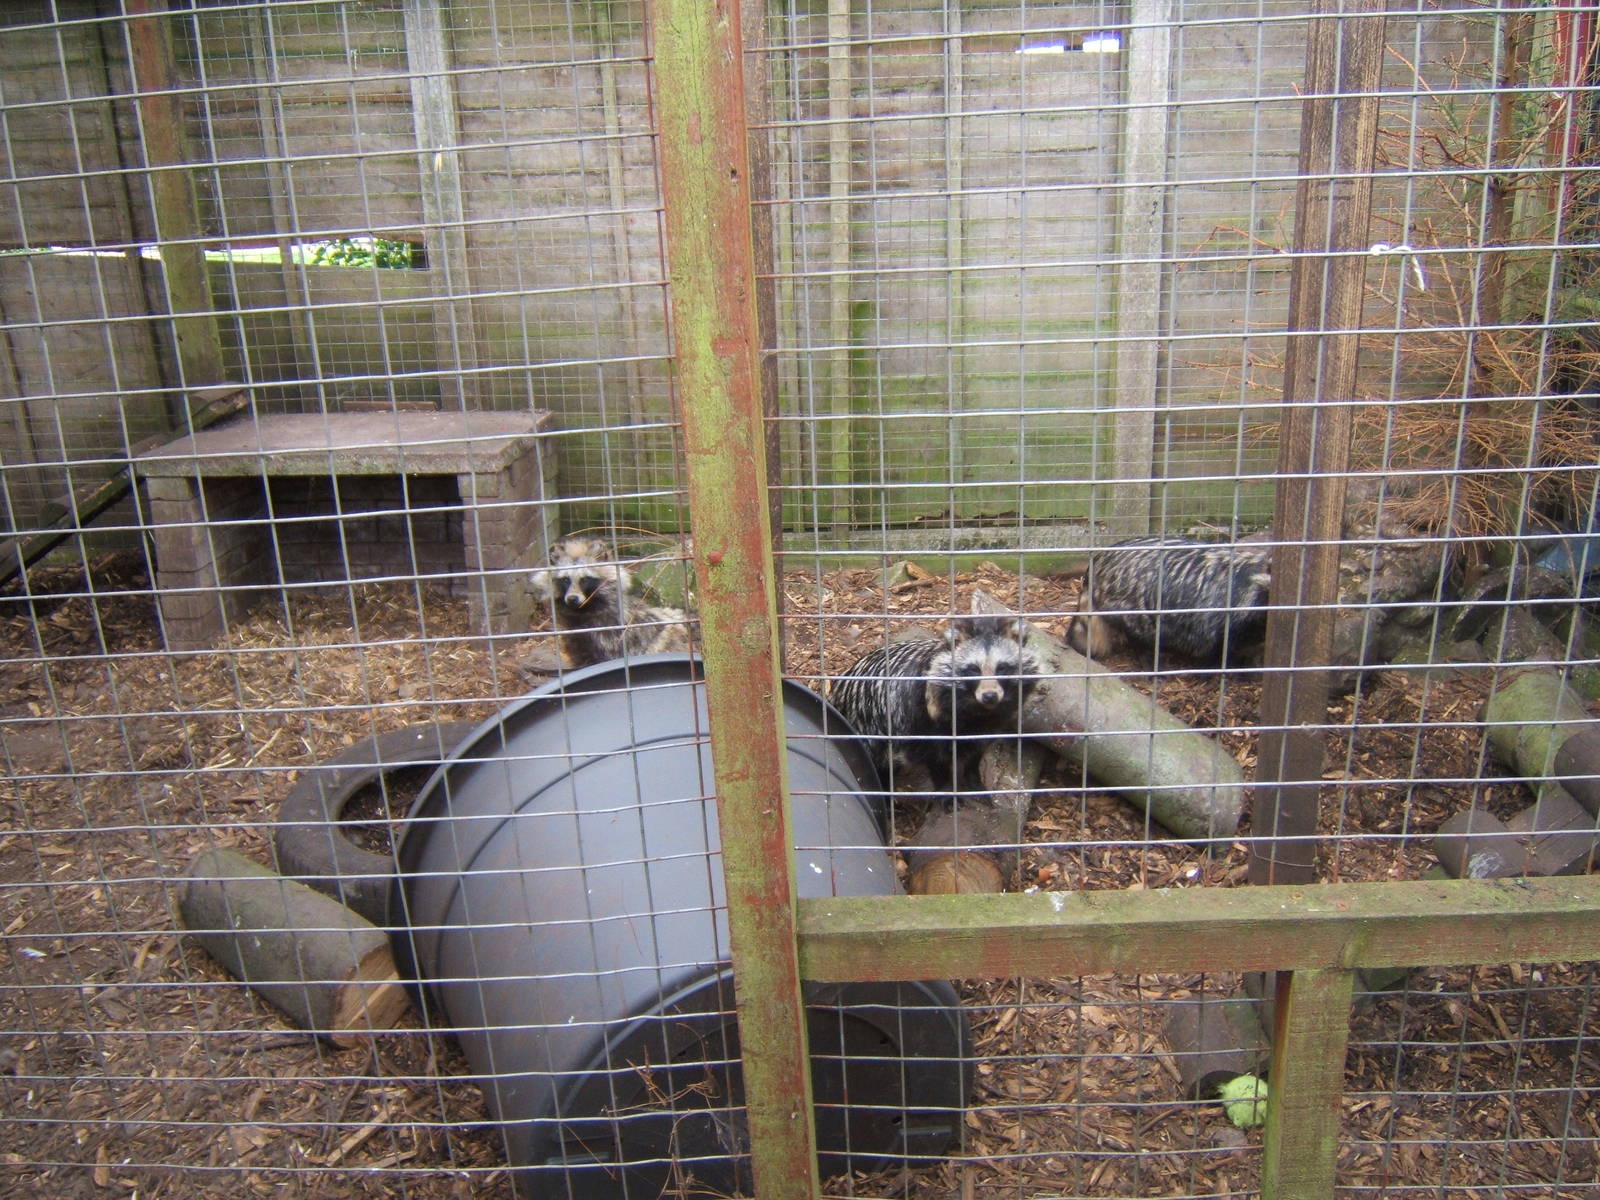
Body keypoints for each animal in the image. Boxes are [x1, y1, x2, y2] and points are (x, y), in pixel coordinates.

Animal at [529, 536, 695, 667]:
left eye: (585, 580)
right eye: (565, 580)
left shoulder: (614, 637)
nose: (572, 599)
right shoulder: (579, 640)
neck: (584, 611)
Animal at [828, 613, 1045, 797]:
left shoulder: (992, 724)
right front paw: (946, 790)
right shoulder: (920, 716)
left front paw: (974, 780)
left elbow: (976, 752)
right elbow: (934, 757)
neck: (976, 711)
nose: (989, 696)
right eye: (973, 669)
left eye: (1002, 668)